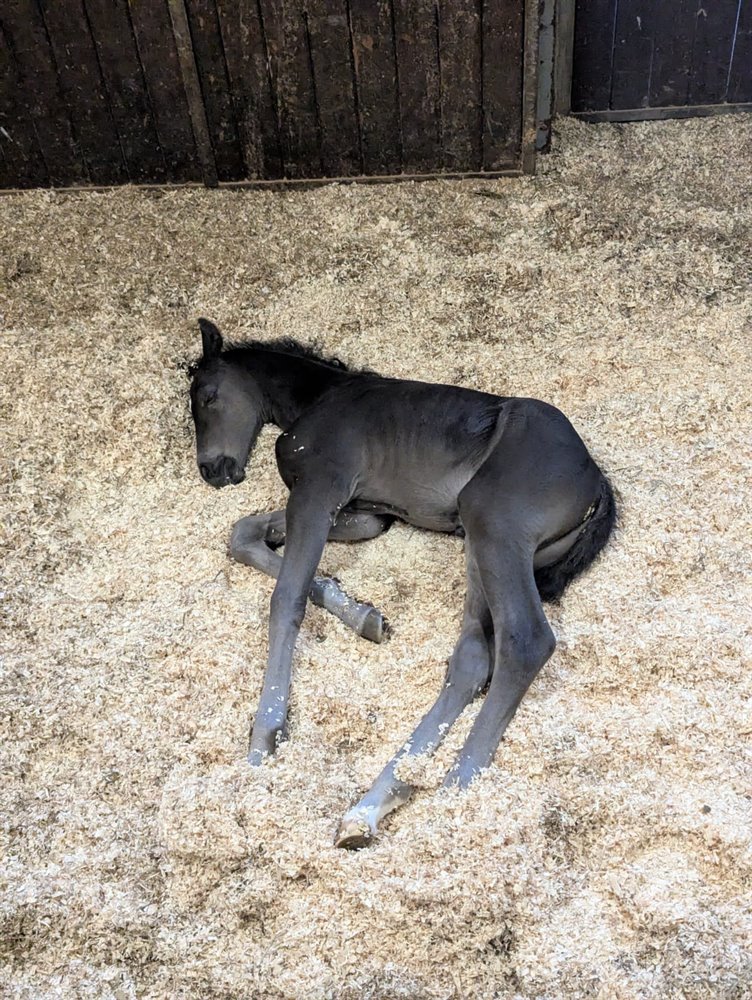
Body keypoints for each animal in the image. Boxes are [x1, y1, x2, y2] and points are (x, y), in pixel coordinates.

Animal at [188, 318, 616, 848]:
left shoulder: (320, 487)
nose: (213, 470)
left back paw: (452, 799)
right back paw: (373, 806)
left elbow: (287, 598)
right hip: (479, 542)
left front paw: (264, 737)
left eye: (207, 396)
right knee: (473, 658)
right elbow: (244, 534)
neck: (320, 396)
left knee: (526, 640)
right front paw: (364, 616)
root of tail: (594, 480)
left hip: (496, 523)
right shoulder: (367, 514)